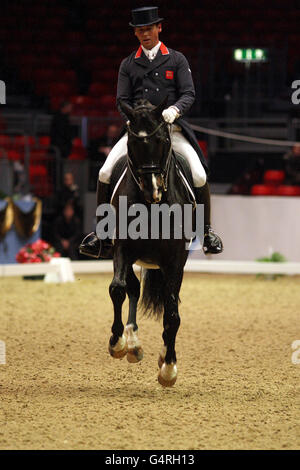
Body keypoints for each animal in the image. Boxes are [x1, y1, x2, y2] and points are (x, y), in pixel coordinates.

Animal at [106, 98, 199, 386]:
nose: (153, 190)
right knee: (133, 289)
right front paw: (117, 343)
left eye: (162, 140)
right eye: (132, 143)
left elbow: (172, 313)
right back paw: (133, 343)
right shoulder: (122, 249)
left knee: (169, 304)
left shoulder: (175, 261)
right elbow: (118, 289)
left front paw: (168, 367)